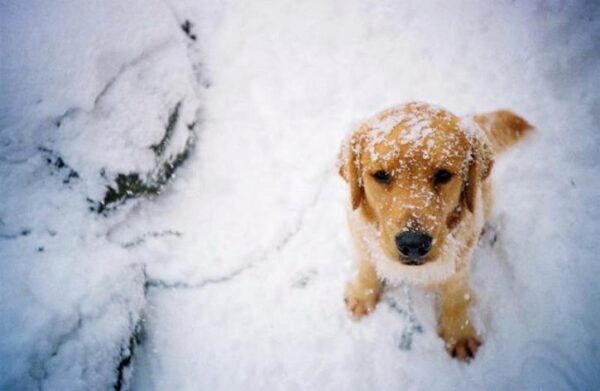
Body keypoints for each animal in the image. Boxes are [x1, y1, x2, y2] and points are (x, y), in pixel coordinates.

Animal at [340, 102, 532, 362]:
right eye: (381, 175)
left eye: (443, 174)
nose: (413, 243)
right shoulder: (361, 237)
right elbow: (367, 267)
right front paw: (363, 295)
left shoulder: (460, 262)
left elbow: (456, 294)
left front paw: (458, 332)